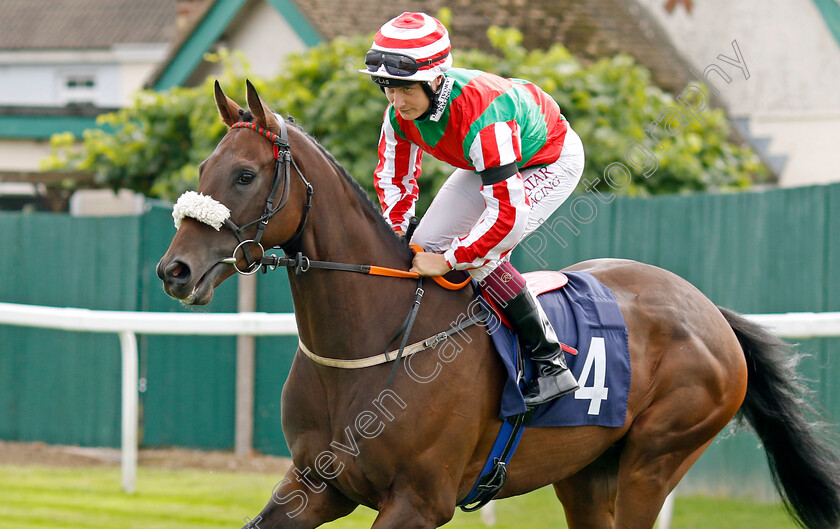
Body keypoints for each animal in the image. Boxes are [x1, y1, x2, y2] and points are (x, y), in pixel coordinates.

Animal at [158, 79, 840, 528]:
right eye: (205, 164)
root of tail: (709, 312)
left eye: (245, 175)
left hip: (655, 460)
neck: (375, 339)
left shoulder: (419, 502)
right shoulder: (313, 484)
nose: (174, 271)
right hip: (586, 473)